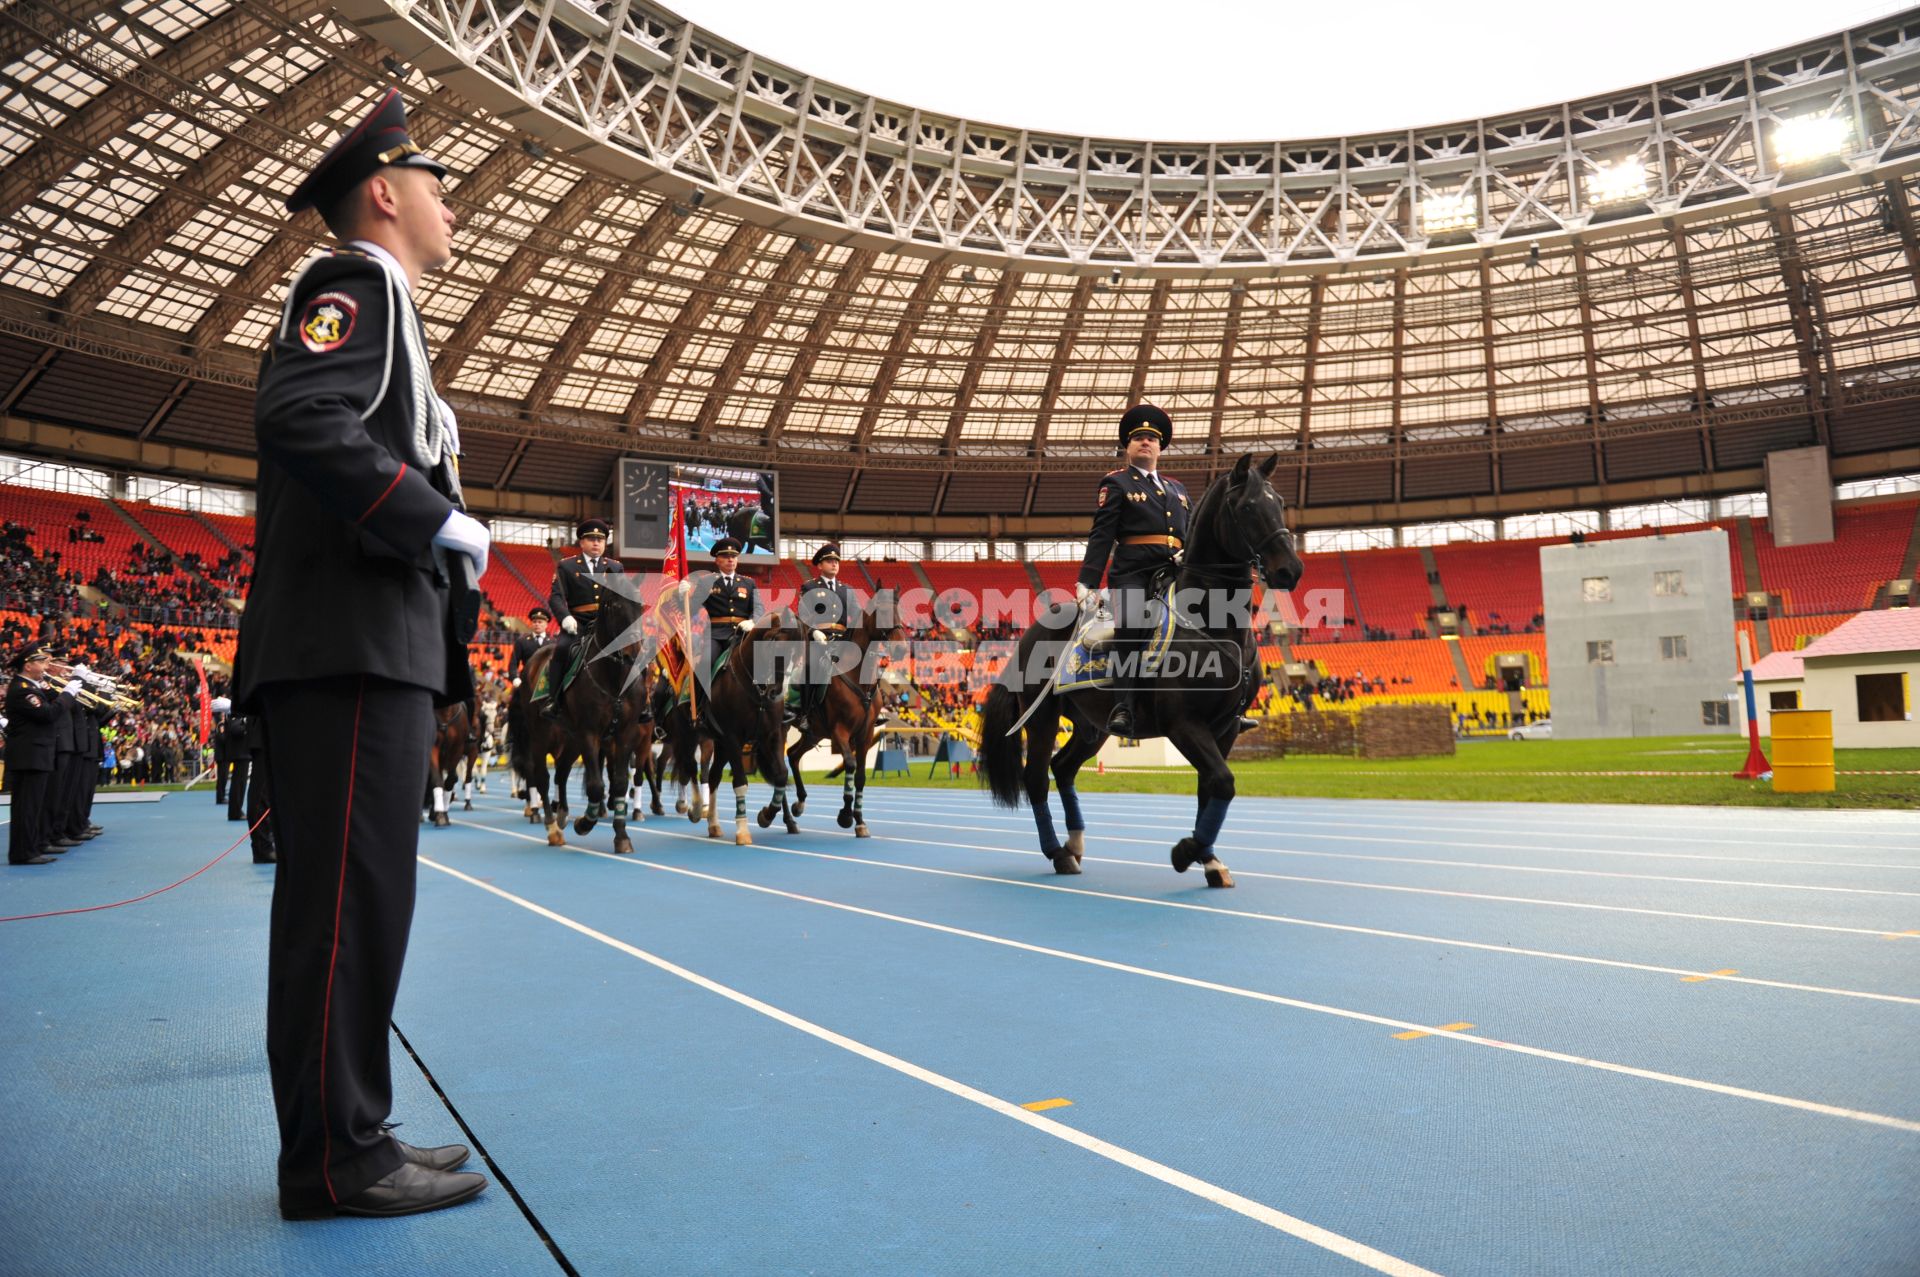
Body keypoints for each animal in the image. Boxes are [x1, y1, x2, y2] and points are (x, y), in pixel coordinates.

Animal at [975, 455, 1305, 887]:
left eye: (1279, 502)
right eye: (1248, 507)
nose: (1290, 571)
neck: (1214, 622)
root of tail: (1030, 633)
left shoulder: (1227, 725)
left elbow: (1211, 788)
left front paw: (1210, 861)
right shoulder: (1184, 724)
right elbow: (1223, 782)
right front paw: (1187, 852)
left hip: (1091, 726)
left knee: (1063, 769)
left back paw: (1075, 844)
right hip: (1043, 718)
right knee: (1036, 780)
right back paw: (1057, 853)